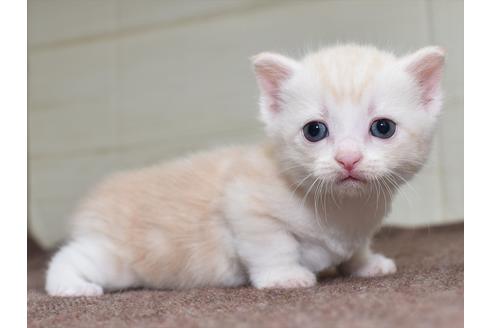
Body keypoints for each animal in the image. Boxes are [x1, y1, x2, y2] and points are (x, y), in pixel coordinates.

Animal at [45, 43, 446, 298]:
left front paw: (365, 264)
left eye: (383, 128)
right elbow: (272, 246)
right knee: (70, 257)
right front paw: (285, 278)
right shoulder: (246, 206)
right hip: (115, 257)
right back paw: (69, 287)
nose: (348, 159)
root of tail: (97, 196)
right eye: (315, 131)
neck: (343, 208)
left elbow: (357, 247)